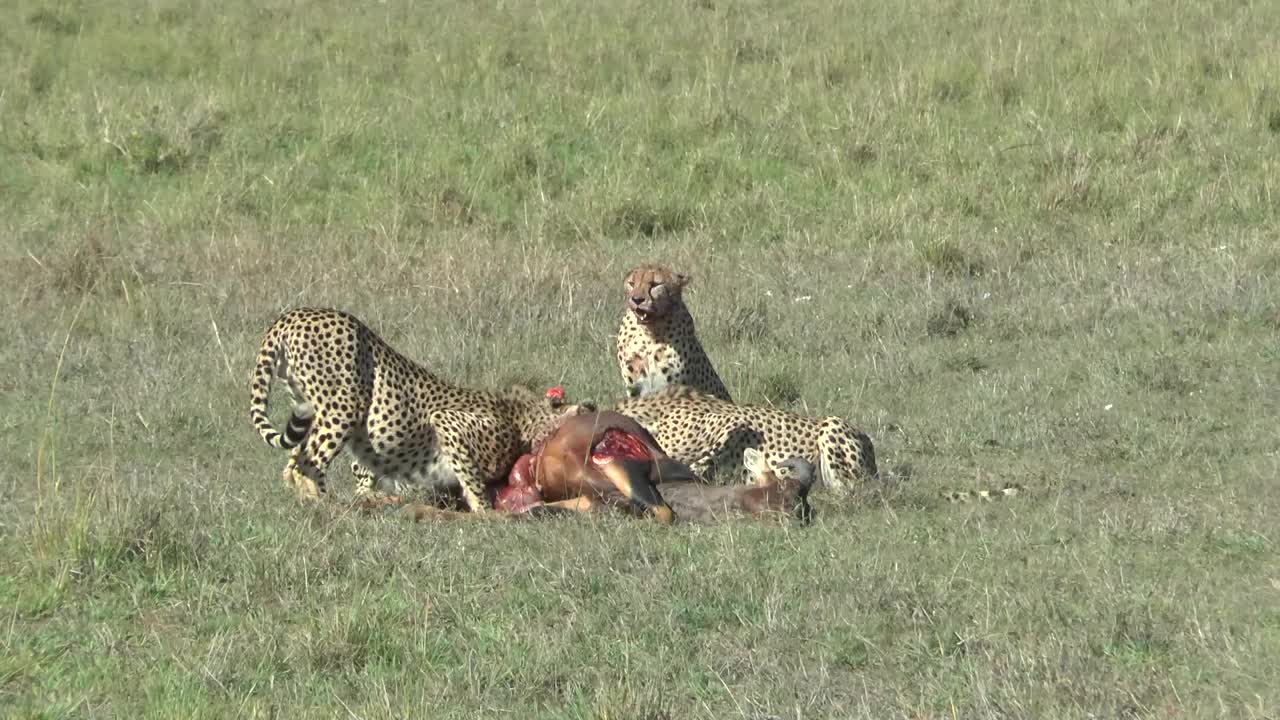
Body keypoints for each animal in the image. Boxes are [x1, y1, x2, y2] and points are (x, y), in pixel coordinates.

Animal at [247, 304, 586, 507]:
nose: (591, 405)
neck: (523, 417)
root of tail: (295, 314)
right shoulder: (448, 423)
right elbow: (473, 480)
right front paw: (484, 513)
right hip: (344, 407)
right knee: (307, 464)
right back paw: (324, 506)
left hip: (310, 407)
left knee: (293, 459)